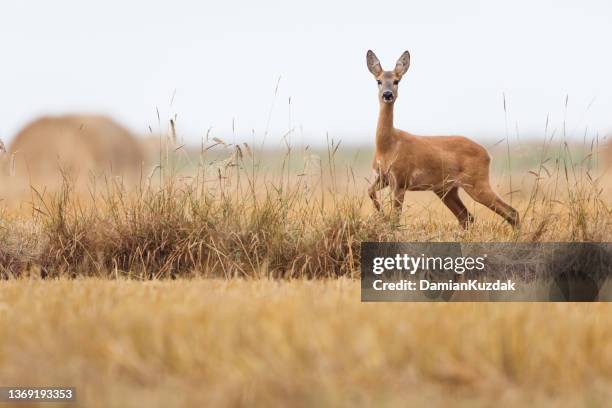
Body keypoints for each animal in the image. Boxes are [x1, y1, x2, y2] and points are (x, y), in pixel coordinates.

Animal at [366, 49, 520, 228]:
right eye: (378, 81)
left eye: (396, 81)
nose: (387, 94)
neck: (388, 146)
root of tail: (487, 154)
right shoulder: (381, 177)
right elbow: (369, 191)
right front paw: (381, 215)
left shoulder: (400, 180)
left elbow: (395, 219)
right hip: (447, 190)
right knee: (467, 217)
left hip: (477, 183)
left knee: (511, 212)